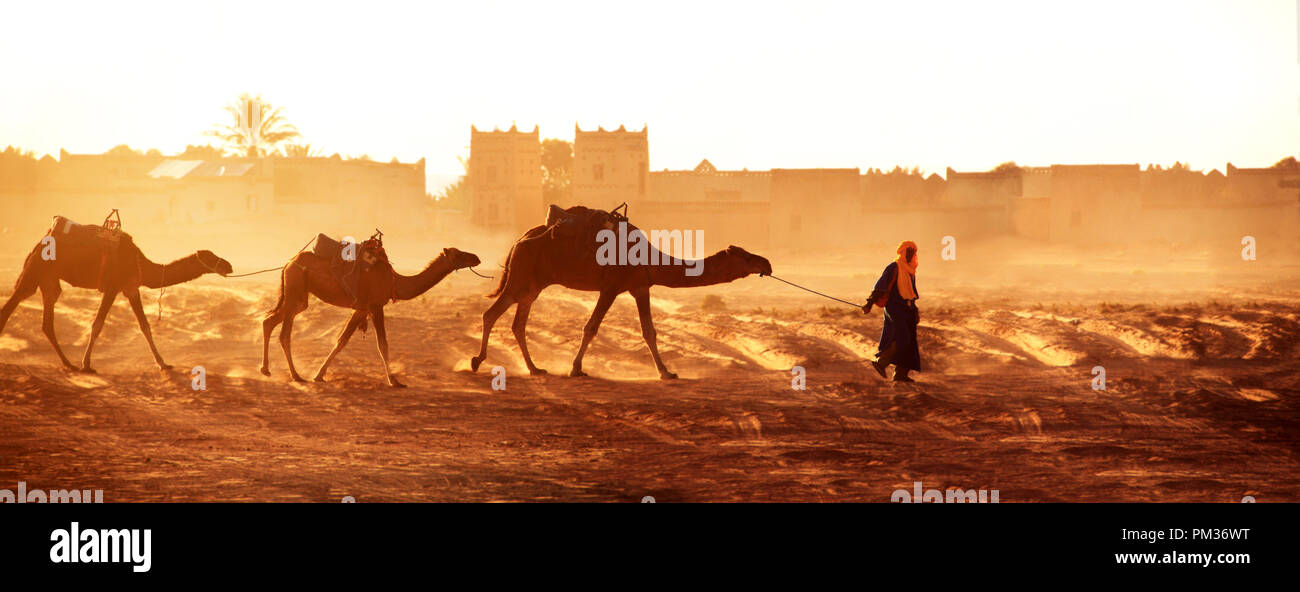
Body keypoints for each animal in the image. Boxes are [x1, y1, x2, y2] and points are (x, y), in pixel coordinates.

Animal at [0, 215, 236, 372]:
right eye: (211, 256)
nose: (228, 265)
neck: (142, 265)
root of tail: (43, 239)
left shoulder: (131, 288)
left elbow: (145, 326)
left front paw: (163, 363)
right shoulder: (113, 286)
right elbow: (97, 324)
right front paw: (87, 365)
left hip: (49, 279)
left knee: (47, 319)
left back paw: (68, 364)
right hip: (35, 270)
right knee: (12, 305)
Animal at [262, 236, 483, 390]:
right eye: (458, 254)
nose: (477, 257)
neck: (395, 282)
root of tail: (288, 263)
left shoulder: (362, 308)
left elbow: (341, 341)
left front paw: (320, 375)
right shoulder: (376, 306)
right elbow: (382, 344)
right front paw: (395, 381)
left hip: (299, 296)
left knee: (269, 321)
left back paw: (266, 370)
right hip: (295, 289)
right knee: (284, 334)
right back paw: (296, 375)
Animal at [470, 205, 764, 379]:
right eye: (745, 257)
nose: (766, 263)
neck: (649, 258)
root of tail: (518, 240)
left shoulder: (640, 286)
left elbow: (649, 331)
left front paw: (666, 372)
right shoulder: (611, 287)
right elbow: (591, 327)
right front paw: (576, 369)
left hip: (532, 284)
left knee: (516, 323)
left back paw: (534, 368)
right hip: (521, 276)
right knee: (491, 314)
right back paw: (477, 361)